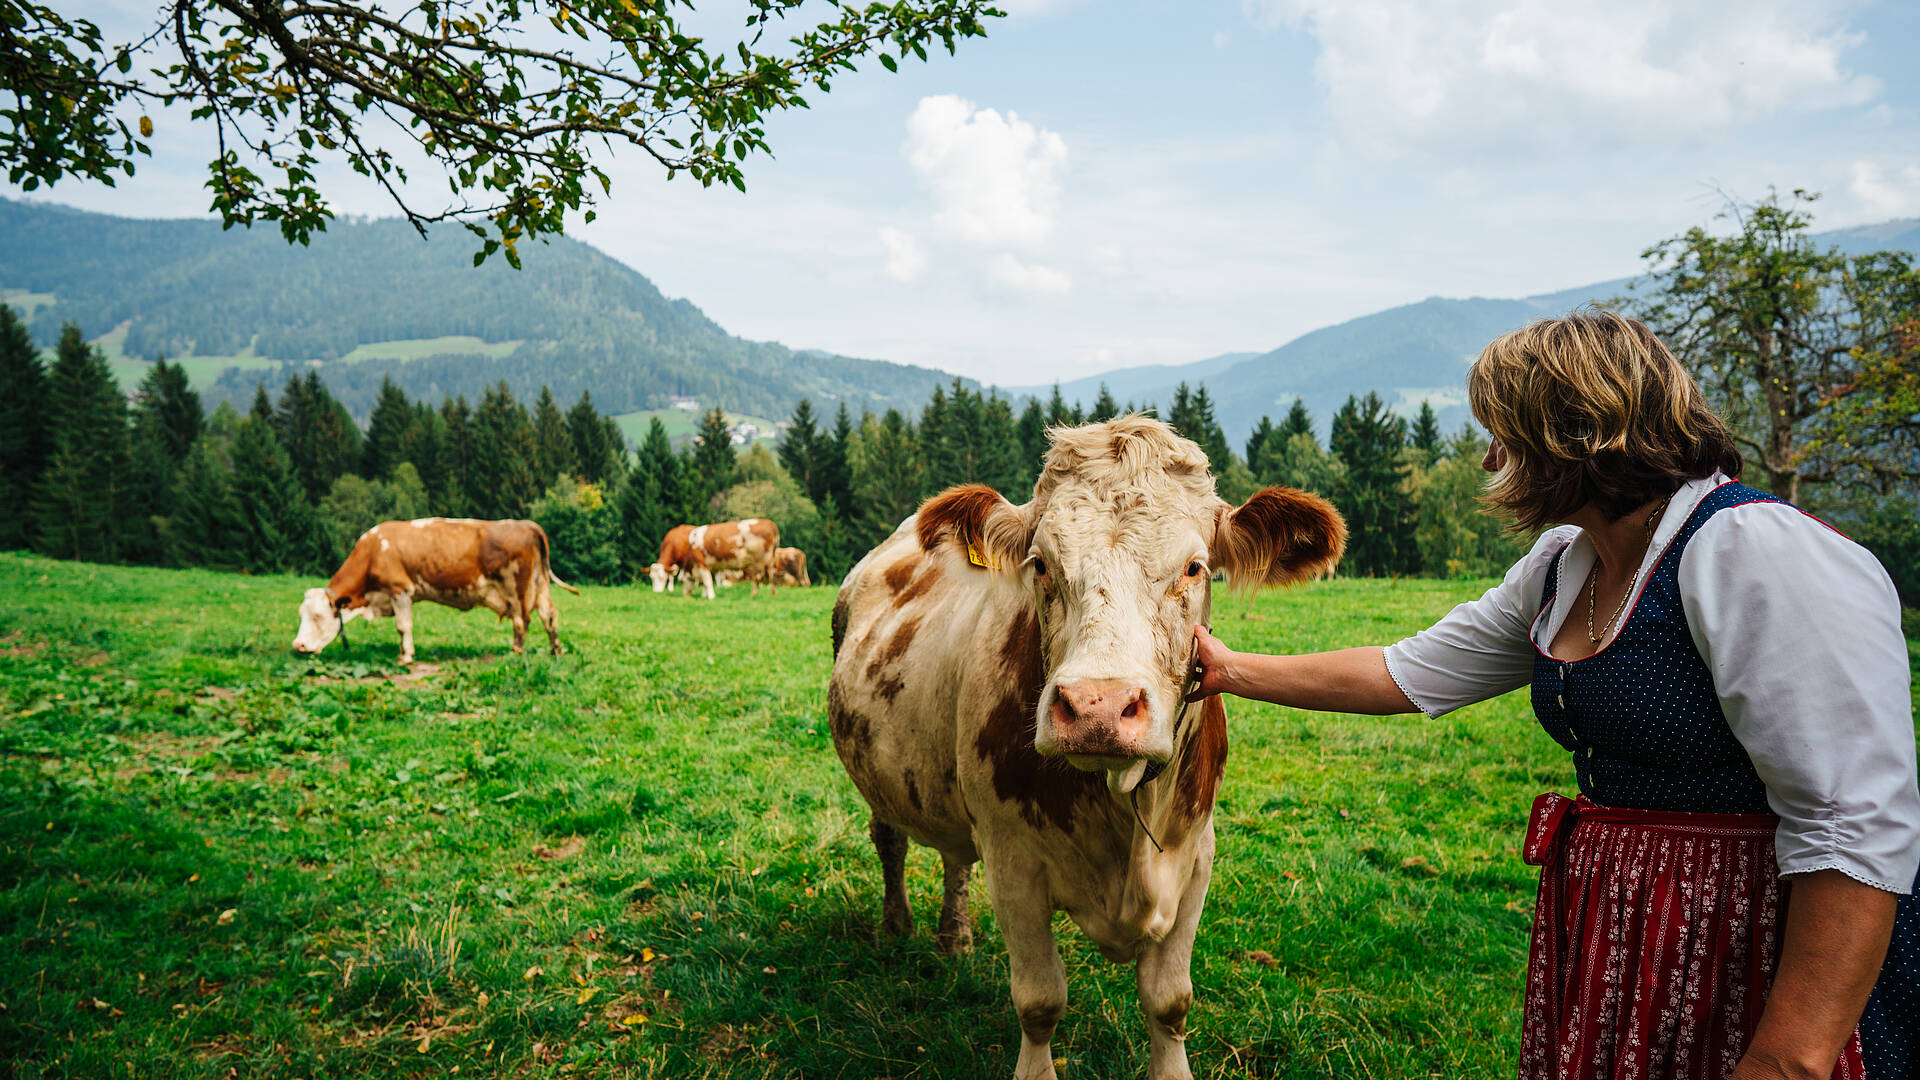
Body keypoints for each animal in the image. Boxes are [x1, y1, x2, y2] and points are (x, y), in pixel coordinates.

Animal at [286, 515, 576, 664]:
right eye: (302, 614)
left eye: (318, 616)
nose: (298, 645)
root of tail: (526, 523)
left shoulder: (400, 590)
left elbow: (403, 626)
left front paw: (405, 656)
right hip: (540, 585)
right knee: (549, 616)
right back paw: (556, 651)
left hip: (516, 589)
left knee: (521, 620)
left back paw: (515, 652)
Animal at [829, 413, 1351, 1076]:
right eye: (1040, 565)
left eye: (1195, 567)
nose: (1098, 707)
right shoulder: (1012, 862)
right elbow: (1039, 1001)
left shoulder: (1196, 855)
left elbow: (1170, 1000)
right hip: (880, 776)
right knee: (891, 840)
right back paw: (897, 926)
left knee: (953, 858)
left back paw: (956, 939)